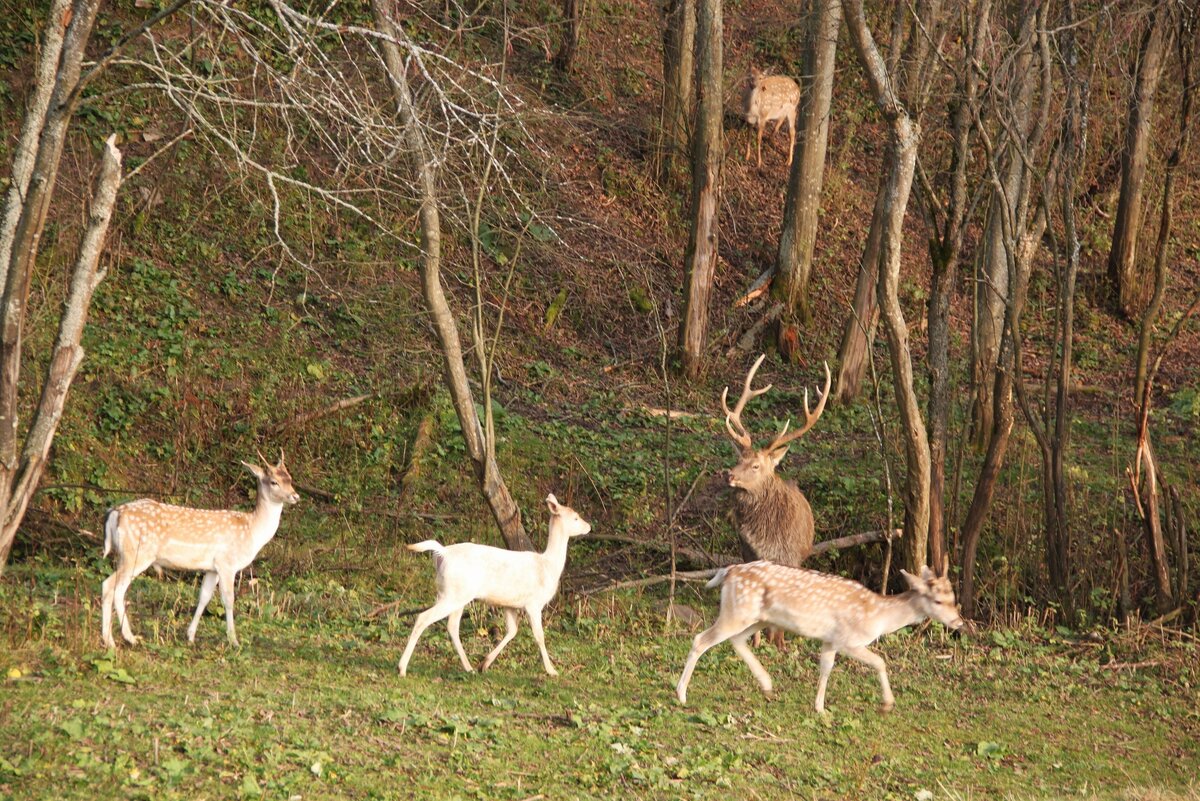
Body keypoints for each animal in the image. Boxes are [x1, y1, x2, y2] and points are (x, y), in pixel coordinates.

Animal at [100, 450, 302, 652]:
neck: (252, 531)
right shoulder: (227, 563)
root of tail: (115, 513)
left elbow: (204, 597)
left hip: (125, 555)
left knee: (110, 587)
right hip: (137, 554)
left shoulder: (212, 568)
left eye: (290, 479)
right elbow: (229, 600)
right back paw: (123, 639)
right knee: (113, 587)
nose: (295, 496)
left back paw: (111, 639)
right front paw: (233, 640)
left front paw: (190, 636)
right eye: (274, 482)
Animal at [400, 494, 592, 676]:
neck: (548, 565)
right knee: (423, 617)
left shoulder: (510, 604)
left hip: (451, 593)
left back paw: (469, 667)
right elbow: (539, 636)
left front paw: (484, 664)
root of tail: (443, 553)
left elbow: (512, 631)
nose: (589, 526)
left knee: (452, 626)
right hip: (453, 594)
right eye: (575, 517)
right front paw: (551, 670)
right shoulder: (534, 603)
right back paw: (402, 668)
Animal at [676, 561, 964, 709]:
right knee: (700, 640)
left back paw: (767, 685)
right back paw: (681, 694)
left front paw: (819, 707)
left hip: (757, 618)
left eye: (953, 597)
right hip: (737, 611)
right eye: (938, 601)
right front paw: (887, 703)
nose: (958, 622)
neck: (877, 616)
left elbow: (825, 668)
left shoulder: (830, 640)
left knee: (736, 640)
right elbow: (880, 662)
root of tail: (727, 572)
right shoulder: (849, 640)